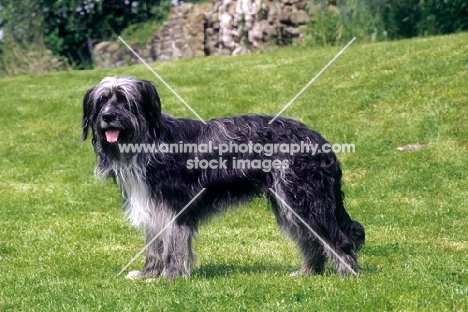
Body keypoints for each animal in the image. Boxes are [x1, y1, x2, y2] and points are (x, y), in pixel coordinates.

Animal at [81, 75, 366, 280]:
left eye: (124, 100)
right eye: (101, 101)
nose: (107, 116)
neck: (148, 141)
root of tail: (318, 138)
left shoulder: (174, 206)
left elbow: (174, 245)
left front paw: (171, 276)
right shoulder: (152, 206)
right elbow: (154, 246)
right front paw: (148, 273)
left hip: (304, 198)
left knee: (335, 238)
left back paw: (347, 273)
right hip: (289, 202)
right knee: (311, 240)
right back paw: (309, 272)